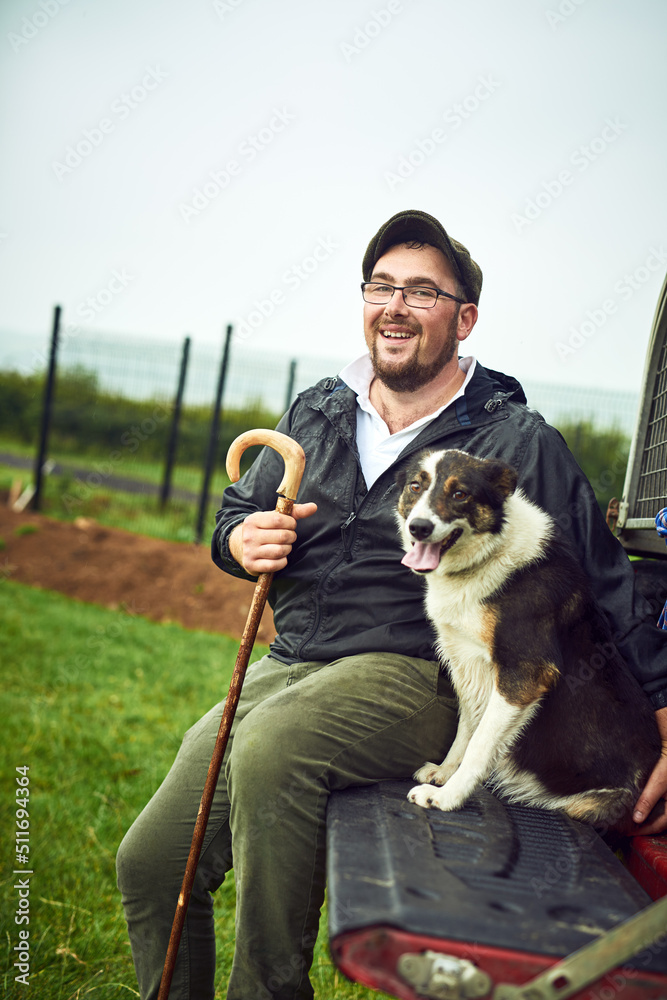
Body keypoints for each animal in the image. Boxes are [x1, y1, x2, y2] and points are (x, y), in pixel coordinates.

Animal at [396, 450, 664, 824]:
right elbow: (466, 729)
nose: (418, 528)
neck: (488, 553)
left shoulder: (524, 675)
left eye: (460, 494)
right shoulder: (469, 665)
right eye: (415, 487)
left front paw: (448, 796)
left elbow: (479, 743)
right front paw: (446, 772)